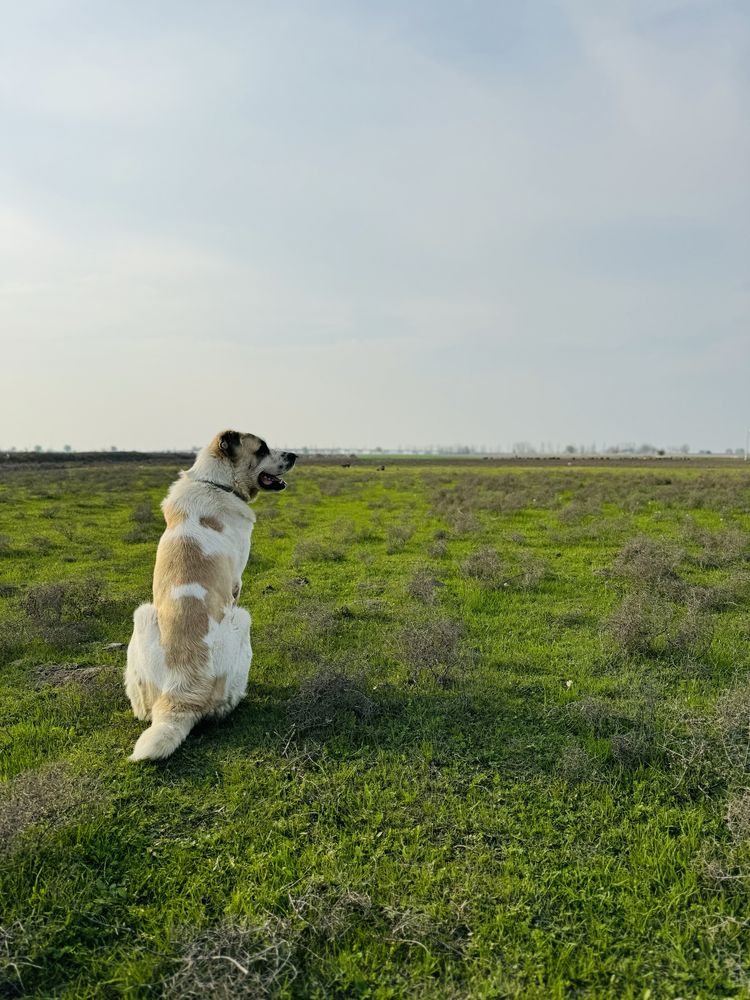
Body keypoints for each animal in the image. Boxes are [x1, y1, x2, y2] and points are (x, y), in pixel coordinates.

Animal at [125, 426, 296, 760]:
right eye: (262, 449)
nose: (295, 455)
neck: (217, 483)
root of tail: (182, 691)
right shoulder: (237, 585)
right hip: (243, 619)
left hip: (142, 615)